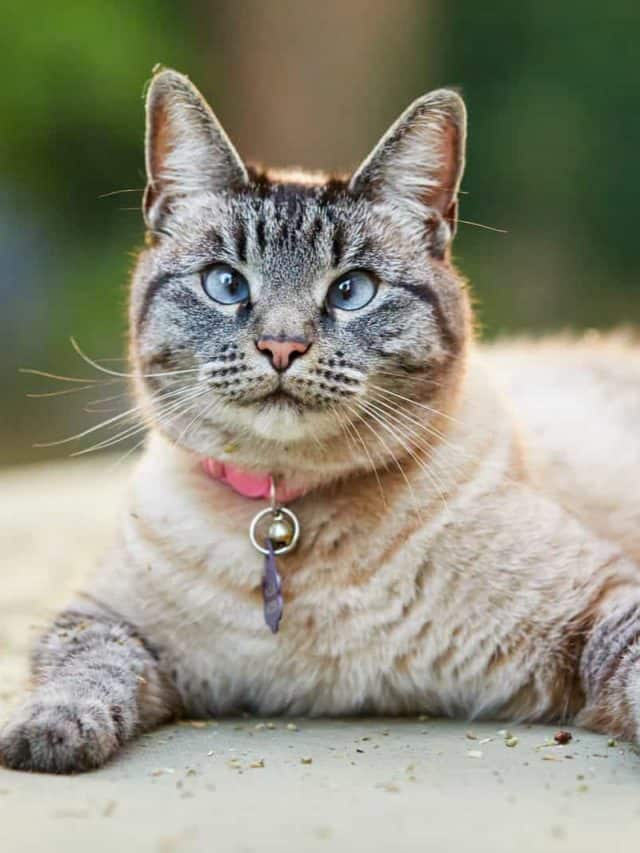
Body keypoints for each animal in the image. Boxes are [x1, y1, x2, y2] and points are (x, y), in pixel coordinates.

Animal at [1, 68, 640, 772]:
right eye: (226, 284)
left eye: (350, 291)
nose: (282, 346)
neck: (284, 513)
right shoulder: (106, 619)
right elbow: (85, 668)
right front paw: (46, 735)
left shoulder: (602, 607)